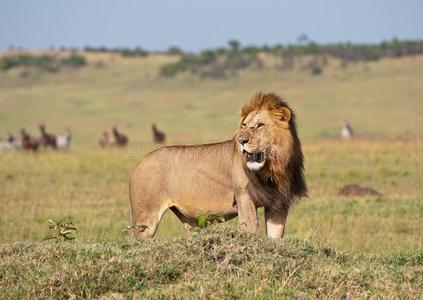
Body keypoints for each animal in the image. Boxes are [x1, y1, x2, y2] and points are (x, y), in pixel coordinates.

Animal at [127, 93, 306, 239]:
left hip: (189, 223)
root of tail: (141, 162)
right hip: (146, 219)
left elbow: (275, 238)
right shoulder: (244, 198)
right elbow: (252, 233)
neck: (274, 167)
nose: (241, 140)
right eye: (244, 125)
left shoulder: (279, 205)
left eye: (260, 125)